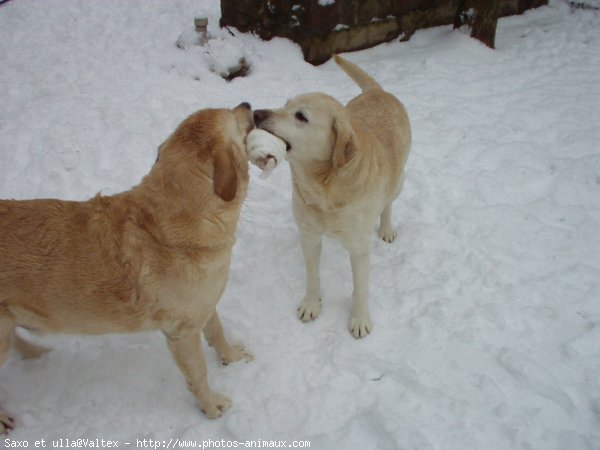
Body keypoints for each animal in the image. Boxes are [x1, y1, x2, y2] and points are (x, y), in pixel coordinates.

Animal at [0, 102, 255, 432]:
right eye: (233, 115)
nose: (248, 105)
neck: (169, 226)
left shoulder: (204, 305)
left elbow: (218, 333)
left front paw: (232, 357)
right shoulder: (182, 333)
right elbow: (198, 374)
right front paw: (211, 407)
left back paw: (35, 352)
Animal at [253, 54, 412, 338]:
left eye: (301, 116)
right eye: (285, 104)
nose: (256, 113)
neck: (324, 187)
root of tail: (378, 91)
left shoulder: (359, 248)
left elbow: (360, 288)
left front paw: (359, 319)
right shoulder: (309, 236)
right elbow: (312, 276)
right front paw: (311, 304)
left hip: (398, 181)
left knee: (388, 204)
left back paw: (386, 228)